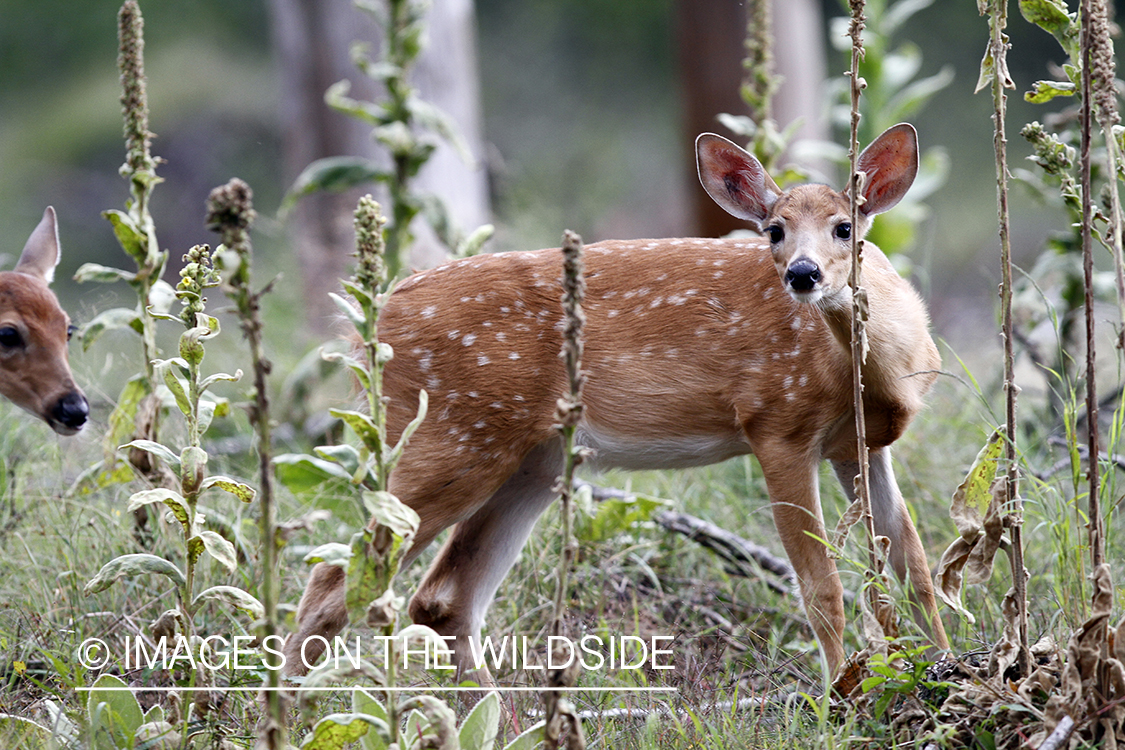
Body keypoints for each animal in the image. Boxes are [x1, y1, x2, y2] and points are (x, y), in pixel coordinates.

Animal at [286, 122, 949, 681]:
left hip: (530, 462)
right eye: (774, 231)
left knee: (442, 599)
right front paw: (845, 694)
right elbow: (821, 586)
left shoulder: (857, 445)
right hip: (445, 437)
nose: (803, 274)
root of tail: (371, 323)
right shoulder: (776, 423)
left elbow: (917, 569)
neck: (872, 375)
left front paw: (946, 667)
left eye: (845, 227)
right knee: (332, 582)